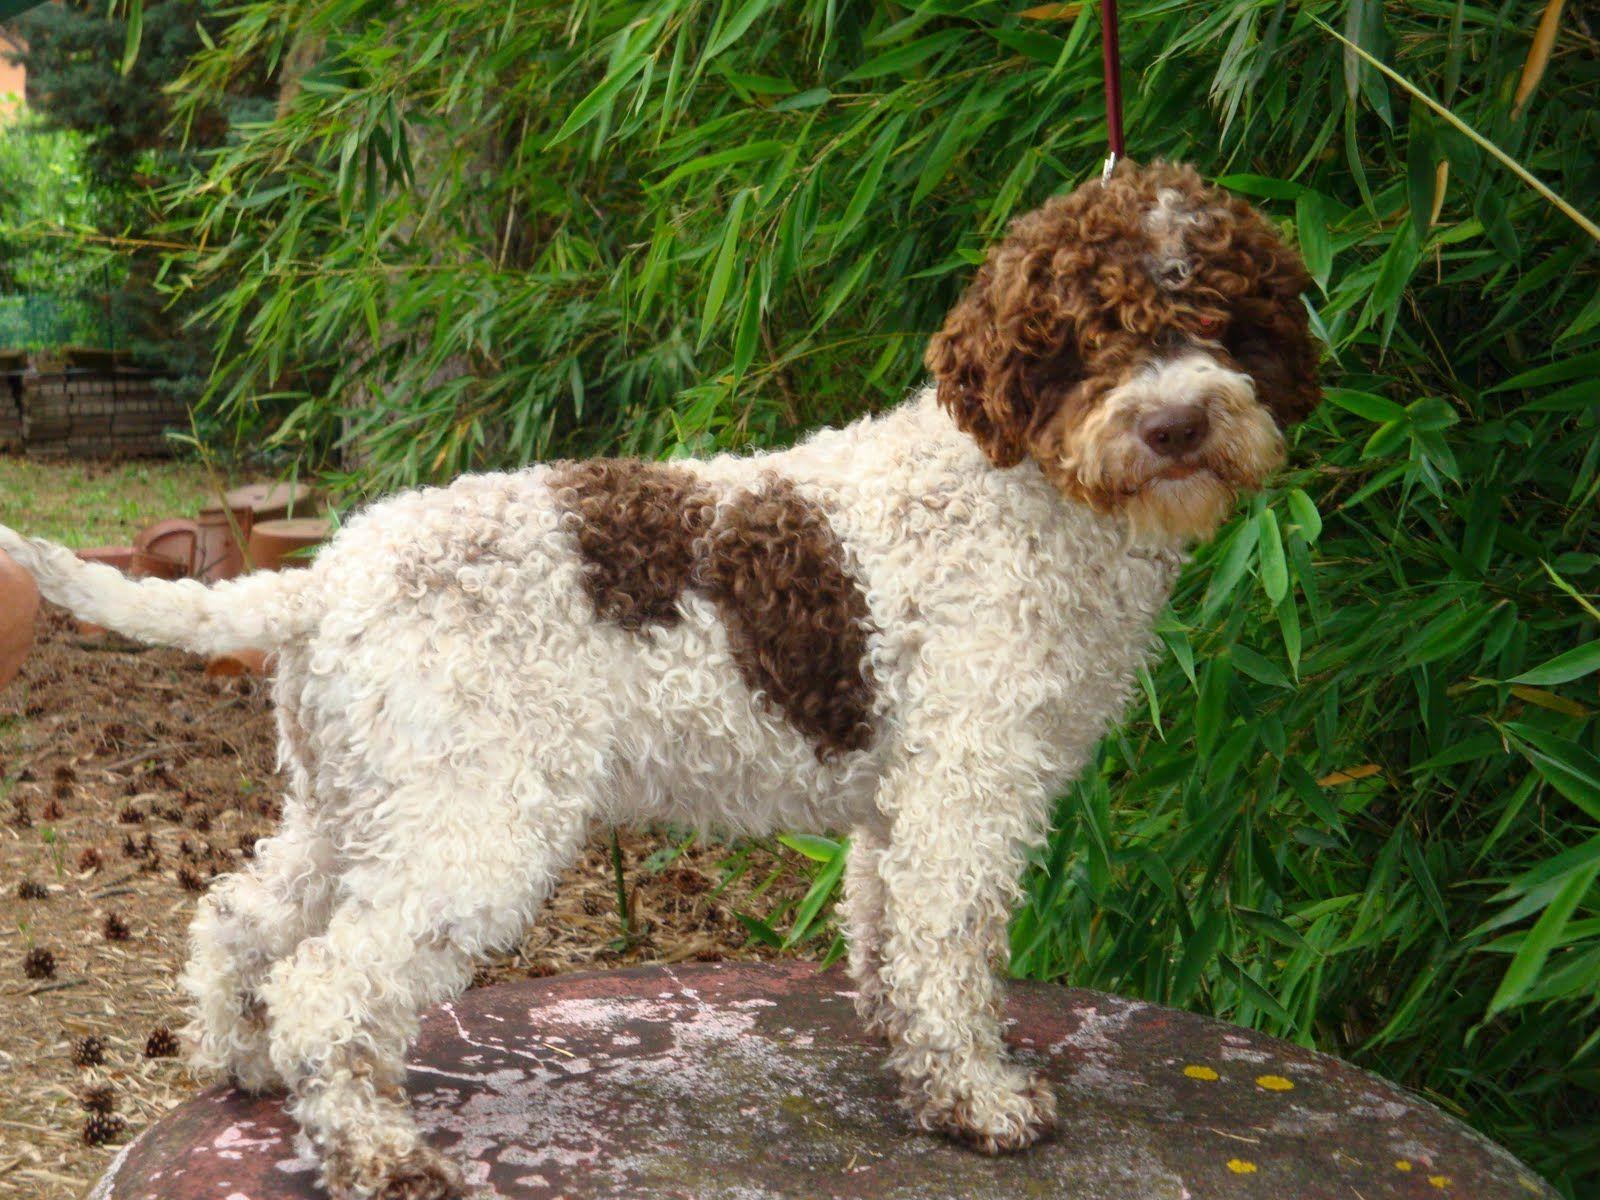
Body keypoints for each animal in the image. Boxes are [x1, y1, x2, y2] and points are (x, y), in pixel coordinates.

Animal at [0, 162, 1324, 1200]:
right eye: (1091, 337)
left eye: (1226, 324)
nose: (1177, 425)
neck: (1022, 489)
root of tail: (324, 578)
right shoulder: (968, 788)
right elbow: (949, 946)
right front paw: (977, 1098)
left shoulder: (901, 801)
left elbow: (885, 928)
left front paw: (904, 1049)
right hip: (474, 818)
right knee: (334, 979)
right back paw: (377, 1150)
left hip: (361, 798)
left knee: (242, 917)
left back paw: (244, 1059)